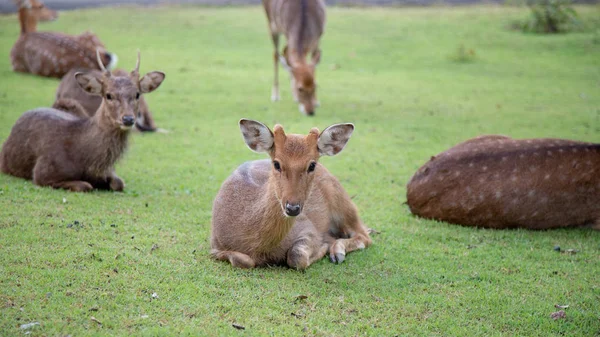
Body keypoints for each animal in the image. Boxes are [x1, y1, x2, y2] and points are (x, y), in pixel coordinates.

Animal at [0, 50, 165, 190]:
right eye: (108, 95)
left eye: (137, 94)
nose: (128, 119)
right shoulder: (43, 171)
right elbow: (84, 186)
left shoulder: (110, 171)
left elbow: (118, 183)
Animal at [210, 119, 370, 270]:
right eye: (276, 163)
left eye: (312, 165)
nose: (292, 208)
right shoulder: (213, 245)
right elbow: (243, 260)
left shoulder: (308, 227)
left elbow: (296, 256)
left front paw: (323, 247)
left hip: (342, 201)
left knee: (364, 236)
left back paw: (337, 252)